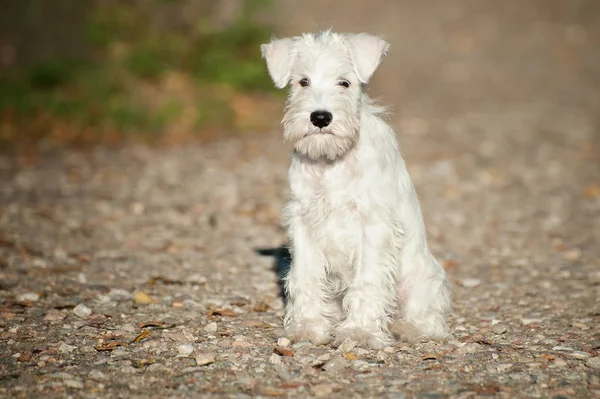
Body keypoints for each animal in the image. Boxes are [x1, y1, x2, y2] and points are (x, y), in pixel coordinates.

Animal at [262, 29, 450, 348]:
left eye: (344, 82)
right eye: (303, 82)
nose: (320, 117)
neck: (331, 162)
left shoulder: (373, 225)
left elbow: (368, 280)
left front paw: (360, 332)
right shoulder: (303, 221)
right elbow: (305, 276)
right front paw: (306, 327)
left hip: (421, 277)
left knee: (427, 315)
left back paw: (409, 328)